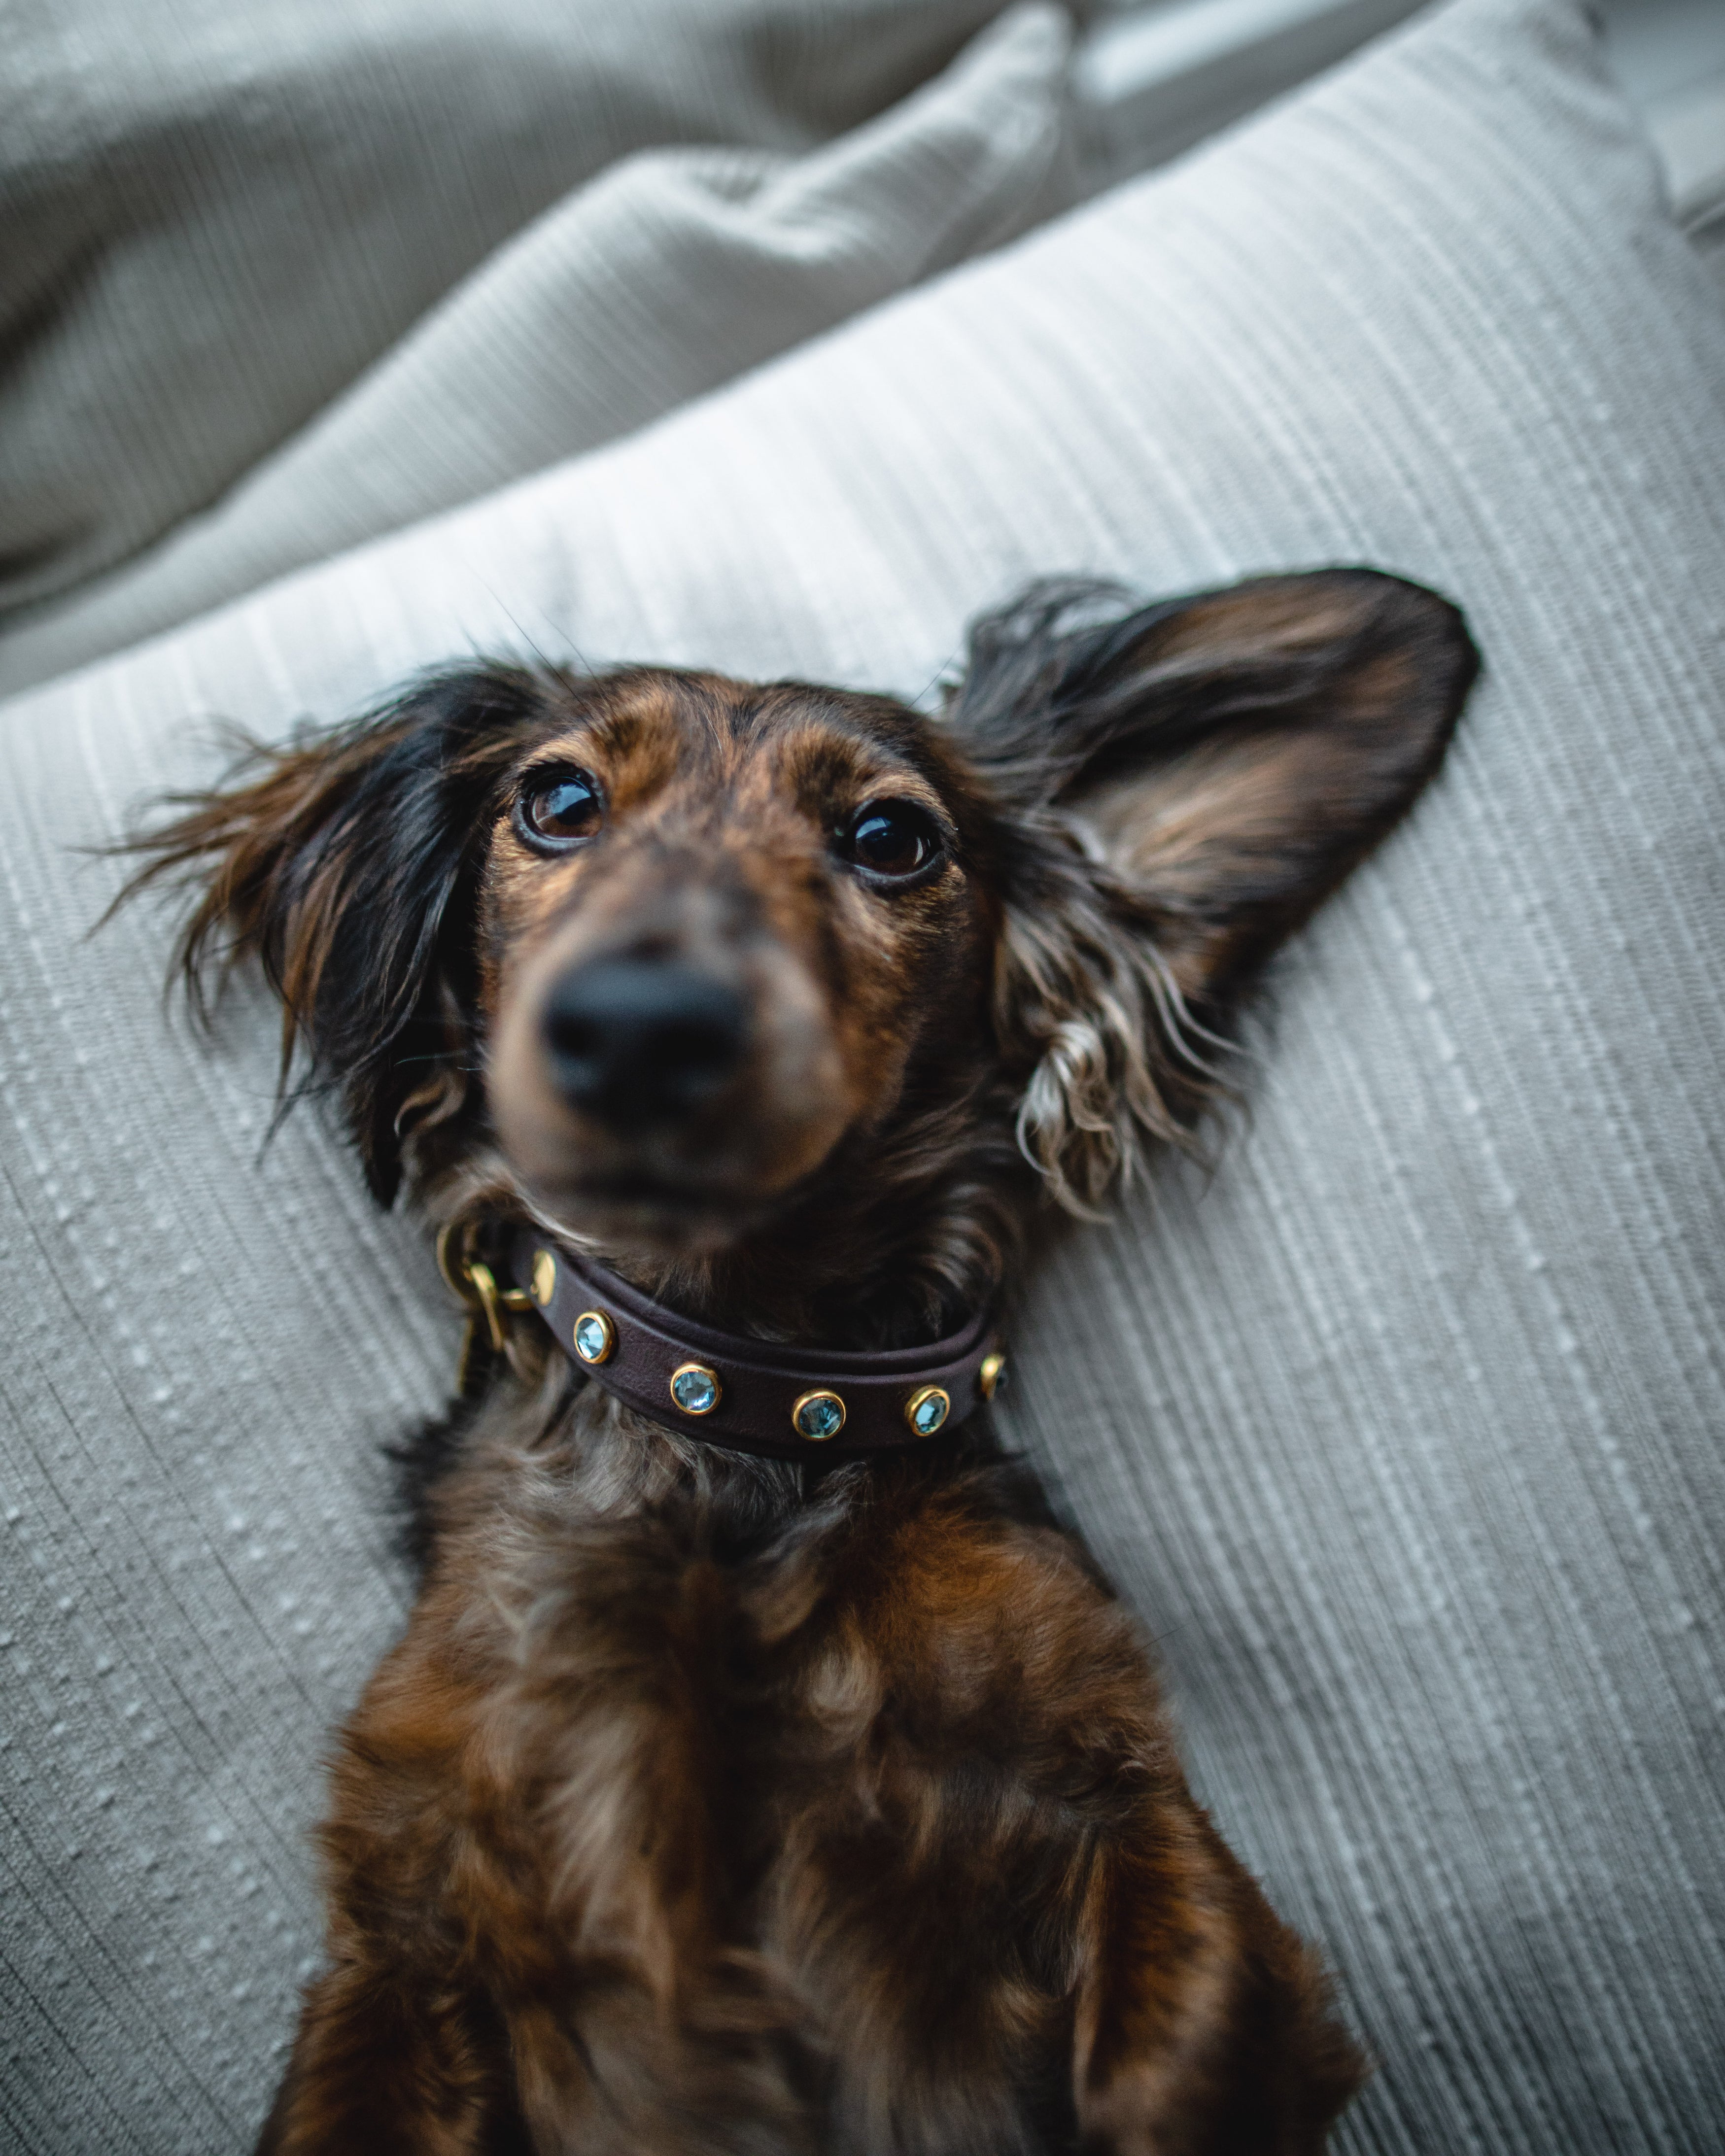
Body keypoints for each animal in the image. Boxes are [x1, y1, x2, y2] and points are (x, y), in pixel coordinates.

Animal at [128, 573, 1484, 2156]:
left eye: (891, 838)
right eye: (558, 801)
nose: (641, 1029)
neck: (737, 1415)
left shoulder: (1121, 1796)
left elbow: (1173, 2073)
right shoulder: (405, 1899)